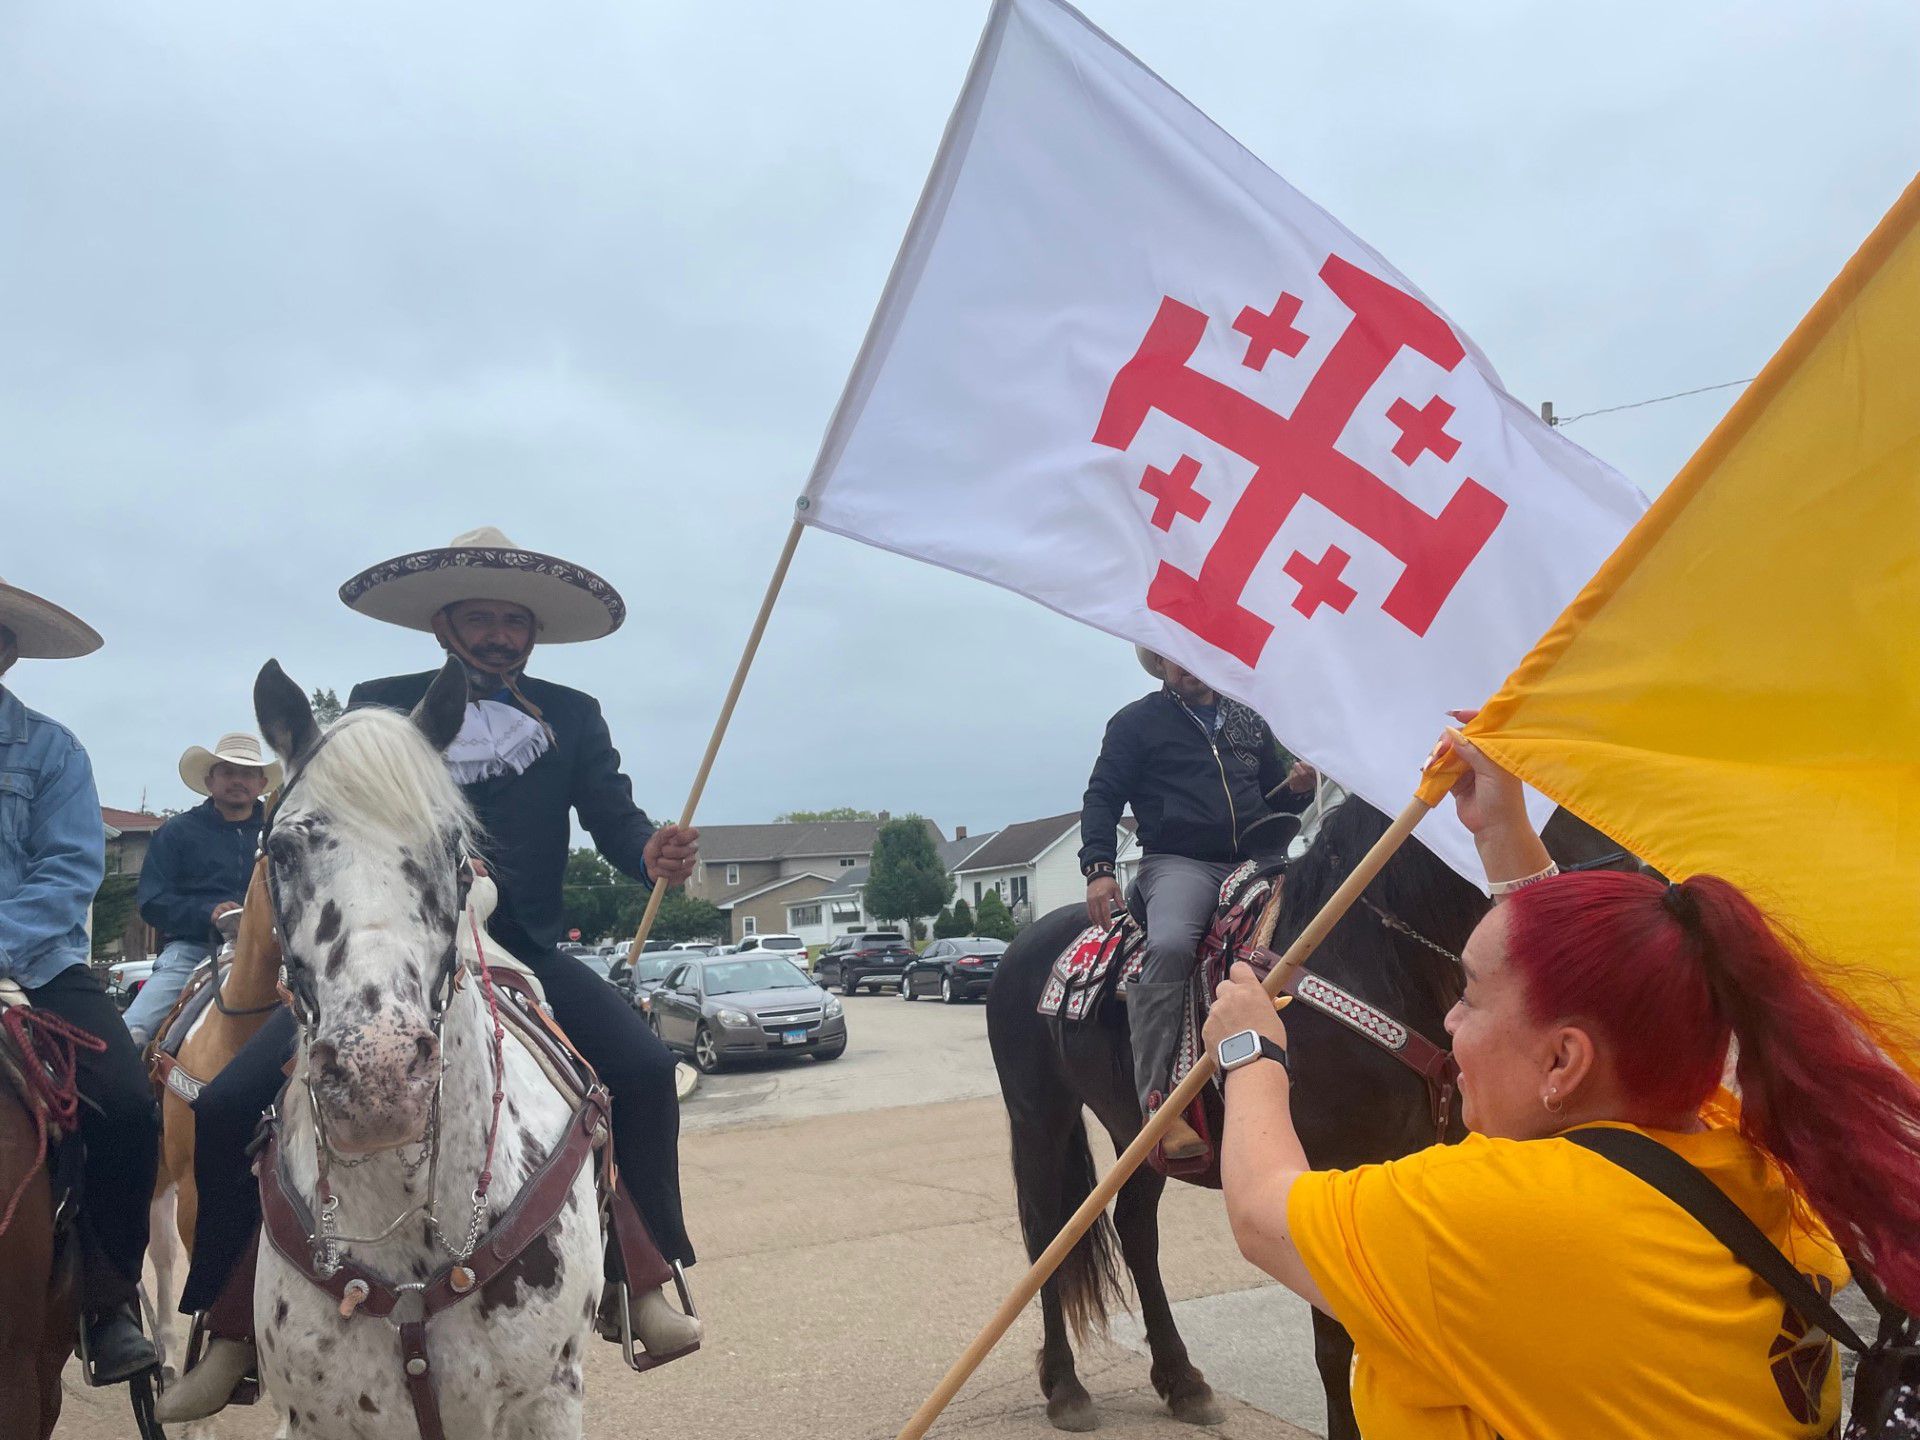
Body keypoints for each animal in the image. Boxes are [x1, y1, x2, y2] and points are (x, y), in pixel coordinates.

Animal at [990, 794, 1635, 1436]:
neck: (1375, 960)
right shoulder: (1324, 1171)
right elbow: (1334, 1344)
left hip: (1137, 1136)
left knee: (1135, 1229)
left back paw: (1182, 1381)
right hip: (1039, 1116)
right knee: (1047, 1235)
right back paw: (1066, 1387)